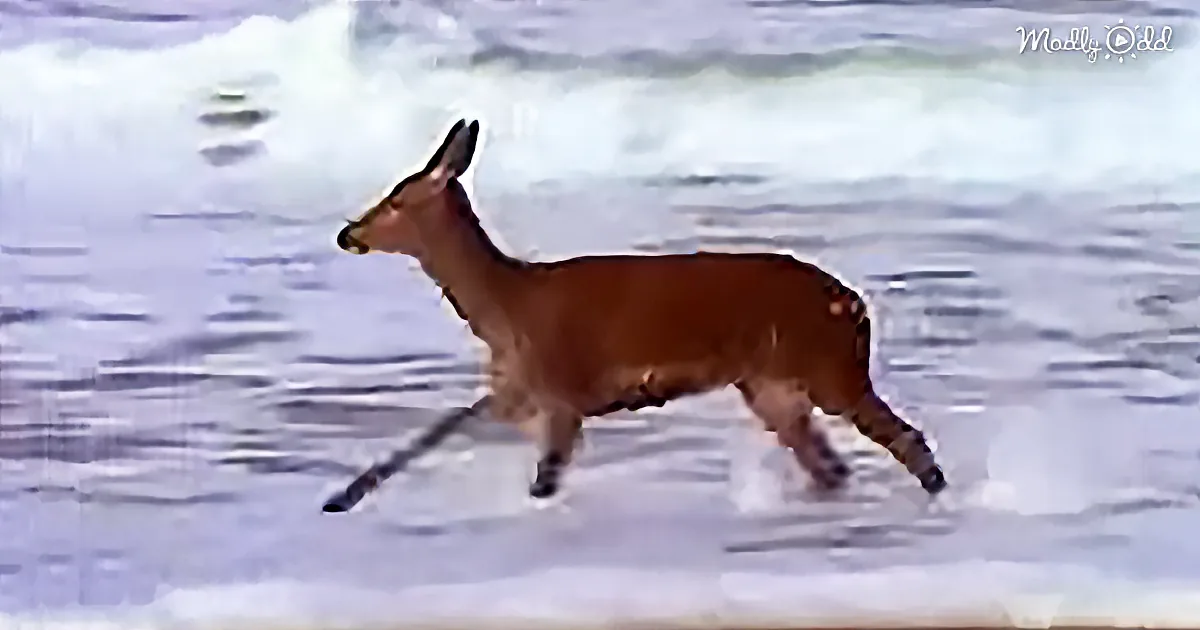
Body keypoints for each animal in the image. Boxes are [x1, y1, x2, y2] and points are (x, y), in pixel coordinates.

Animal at [334, 119, 947, 503]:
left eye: (396, 199)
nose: (348, 234)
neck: (508, 306)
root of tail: (856, 306)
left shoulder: (562, 389)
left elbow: (542, 480)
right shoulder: (522, 390)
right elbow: (445, 424)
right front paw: (344, 496)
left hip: (829, 369)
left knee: (906, 441)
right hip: (770, 386)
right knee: (832, 467)